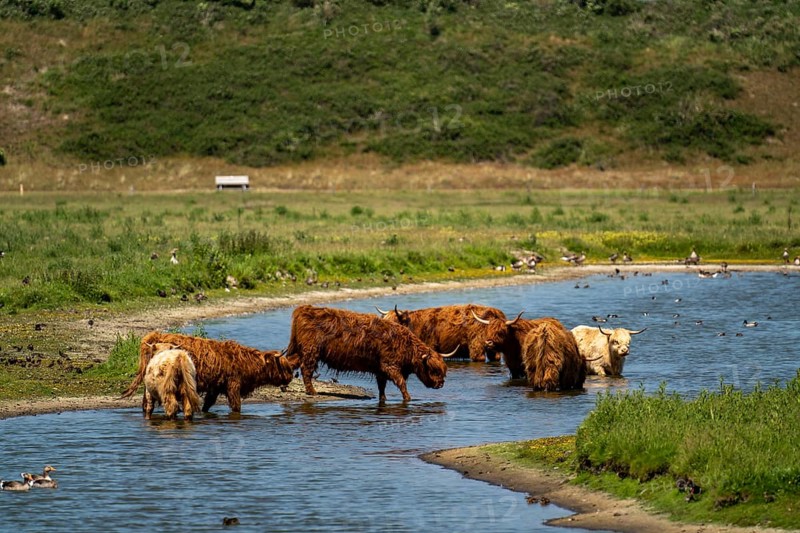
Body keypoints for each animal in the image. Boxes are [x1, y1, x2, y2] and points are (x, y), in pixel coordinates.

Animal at [121, 332, 298, 413]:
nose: (290, 378)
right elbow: (236, 406)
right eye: (284, 367)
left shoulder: (215, 387)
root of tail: (151, 336)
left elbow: (208, 404)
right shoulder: (233, 385)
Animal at [286, 305, 456, 404]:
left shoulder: (380, 370)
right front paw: (408, 399)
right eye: (434, 370)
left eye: (443, 370)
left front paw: (383, 399)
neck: (405, 345)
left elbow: (382, 387)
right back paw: (312, 391)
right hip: (311, 351)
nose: (440, 384)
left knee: (290, 362)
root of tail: (304, 309)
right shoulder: (390, 366)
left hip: (301, 350)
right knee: (306, 370)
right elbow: (401, 383)